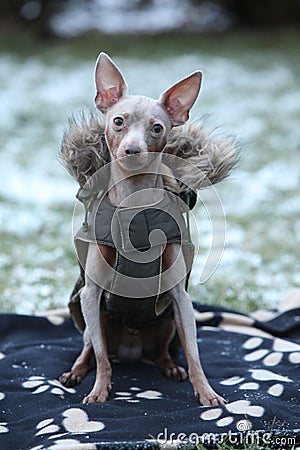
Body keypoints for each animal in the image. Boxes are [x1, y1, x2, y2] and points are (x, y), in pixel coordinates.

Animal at [59, 51, 226, 406]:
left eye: (157, 128)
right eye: (118, 121)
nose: (132, 150)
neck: (135, 206)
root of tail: (132, 350)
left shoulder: (181, 298)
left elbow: (194, 354)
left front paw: (206, 393)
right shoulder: (91, 294)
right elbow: (102, 358)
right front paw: (99, 391)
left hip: (168, 321)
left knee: (163, 350)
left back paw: (170, 367)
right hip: (93, 321)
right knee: (91, 348)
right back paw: (76, 372)